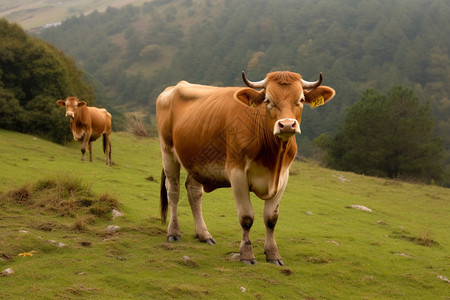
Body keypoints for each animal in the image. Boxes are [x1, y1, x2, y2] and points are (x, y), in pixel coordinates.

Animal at [156, 70, 336, 264]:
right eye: (268, 100)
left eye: (301, 99)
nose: (287, 125)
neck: (272, 160)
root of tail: (172, 88)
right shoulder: (237, 174)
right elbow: (246, 217)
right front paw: (247, 255)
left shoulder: (283, 177)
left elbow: (271, 218)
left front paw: (273, 254)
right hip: (167, 151)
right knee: (173, 191)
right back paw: (174, 232)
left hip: (196, 161)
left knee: (194, 192)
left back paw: (204, 235)